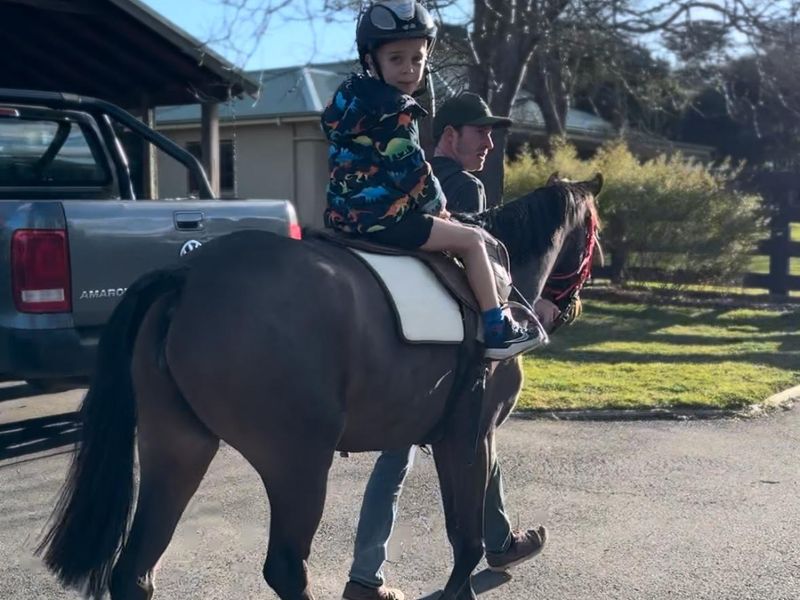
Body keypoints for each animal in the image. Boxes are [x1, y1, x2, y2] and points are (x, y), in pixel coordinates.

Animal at [37, 173, 602, 600]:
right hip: (298, 463)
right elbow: (465, 539)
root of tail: (188, 277)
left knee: (134, 572)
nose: (568, 308)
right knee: (286, 569)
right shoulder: (469, 436)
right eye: (594, 235)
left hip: (176, 446)